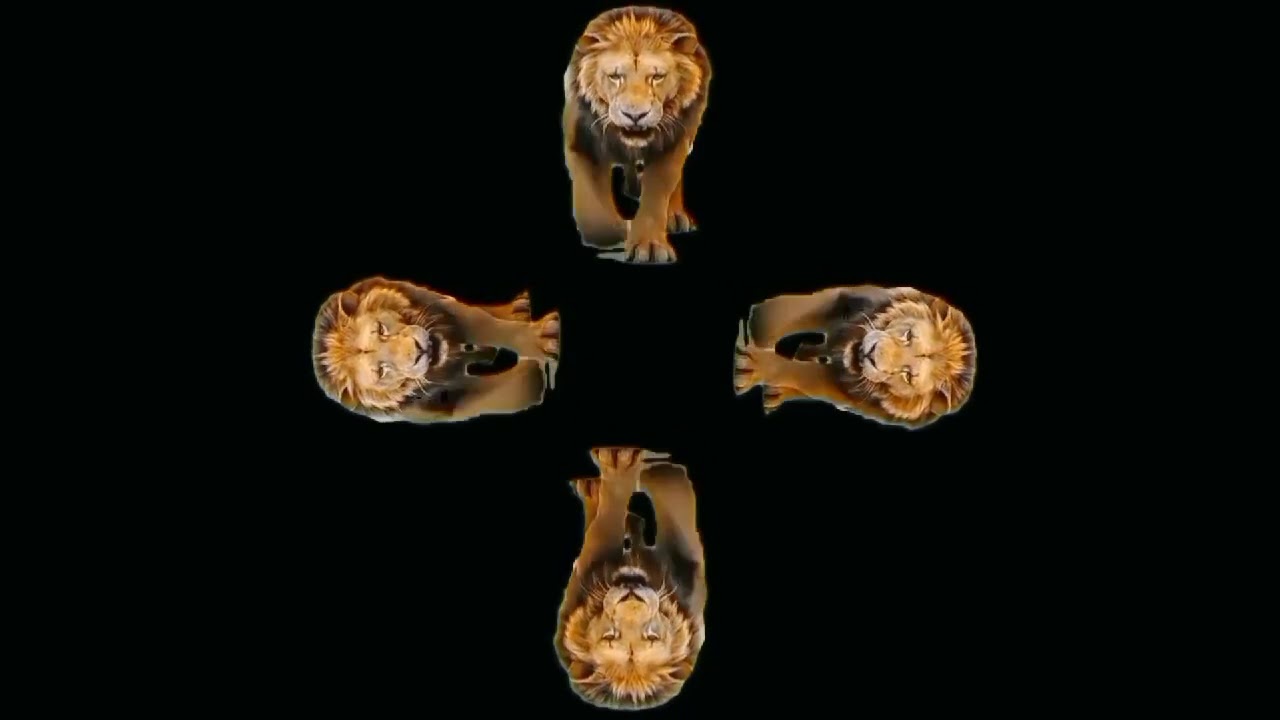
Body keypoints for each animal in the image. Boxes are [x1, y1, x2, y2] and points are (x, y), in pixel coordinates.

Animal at [311, 276, 561, 424]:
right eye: (381, 371)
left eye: (381, 330)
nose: (419, 350)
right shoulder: (444, 406)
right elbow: (504, 395)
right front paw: (534, 374)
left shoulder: (442, 310)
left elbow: (486, 325)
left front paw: (541, 340)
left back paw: (517, 310)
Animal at [554, 448, 707, 710]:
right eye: (610, 636)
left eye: (652, 637)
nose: (632, 595)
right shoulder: (581, 580)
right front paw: (623, 464)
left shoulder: (687, 577)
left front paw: (627, 464)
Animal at [563, 6, 712, 264]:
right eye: (615, 76)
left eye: (657, 77)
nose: (635, 115)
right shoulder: (581, 141)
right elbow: (593, 209)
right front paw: (622, 229)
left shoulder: (673, 144)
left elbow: (657, 195)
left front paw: (648, 247)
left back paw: (675, 216)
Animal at [733, 285, 977, 429]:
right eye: (909, 335)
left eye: (908, 375)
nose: (871, 355)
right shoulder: (844, 300)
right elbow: (792, 313)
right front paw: (759, 329)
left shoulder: (844, 390)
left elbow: (801, 373)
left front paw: (751, 368)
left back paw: (776, 392)